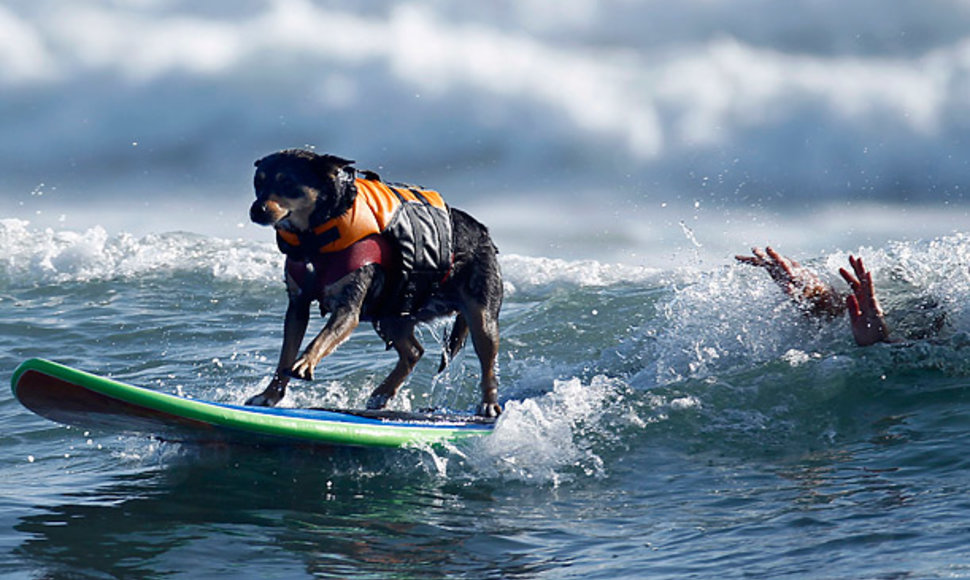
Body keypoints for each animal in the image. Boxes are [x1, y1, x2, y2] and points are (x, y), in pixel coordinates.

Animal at [242, 147, 502, 414]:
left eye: (288, 183)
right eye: (258, 183)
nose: (256, 210)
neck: (315, 238)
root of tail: (484, 233)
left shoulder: (348, 308)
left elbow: (322, 337)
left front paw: (304, 362)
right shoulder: (297, 305)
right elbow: (285, 353)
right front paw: (269, 395)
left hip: (481, 313)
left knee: (487, 360)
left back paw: (488, 404)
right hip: (392, 314)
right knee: (413, 352)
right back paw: (382, 394)